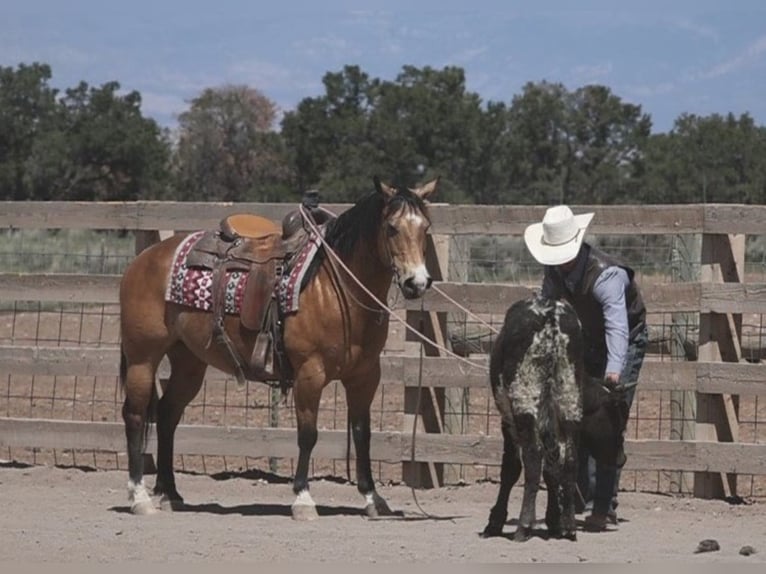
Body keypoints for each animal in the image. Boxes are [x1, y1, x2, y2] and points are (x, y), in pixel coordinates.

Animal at [121, 177, 444, 520]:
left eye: (425, 227)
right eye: (392, 228)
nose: (417, 283)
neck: (336, 288)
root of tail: (143, 260)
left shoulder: (365, 376)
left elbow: (361, 433)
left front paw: (373, 498)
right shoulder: (310, 373)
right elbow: (308, 434)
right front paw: (303, 498)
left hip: (188, 362)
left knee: (167, 414)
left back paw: (170, 493)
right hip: (142, 358)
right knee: (136, 416)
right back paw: (139, 497)